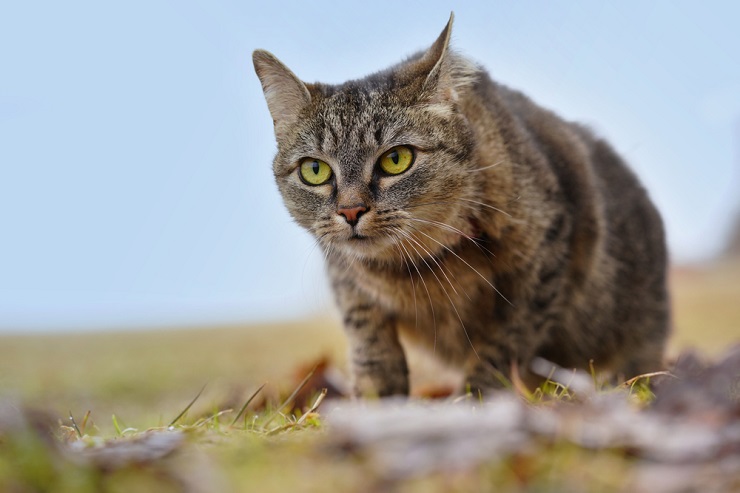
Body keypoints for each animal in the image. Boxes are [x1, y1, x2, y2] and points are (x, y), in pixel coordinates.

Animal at [253, 13, 672, 396]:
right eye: (315, 170)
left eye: (396, 160)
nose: (351, 211)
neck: (411, 267)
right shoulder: (346, 279)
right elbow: (369, 342)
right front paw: (377, 400)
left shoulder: (542, 268)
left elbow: (504, 346)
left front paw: (477, 398)